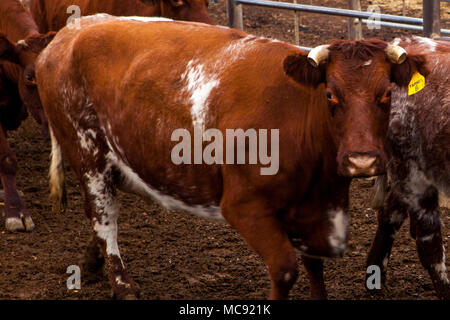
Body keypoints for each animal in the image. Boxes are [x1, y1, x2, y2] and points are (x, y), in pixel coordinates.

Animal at [36, 16, 426, 298]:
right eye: (330, 94)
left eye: (386, 93)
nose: (362, 160)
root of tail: (68, 34)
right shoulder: (244, 207)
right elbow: (285, 269)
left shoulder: (309, 210)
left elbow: (315, 268)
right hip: (88, 153)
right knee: (104, 216)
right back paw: (121, 283)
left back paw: (93, 261)